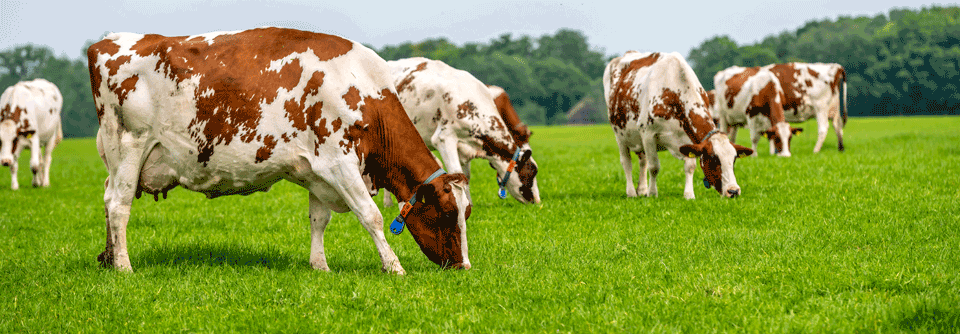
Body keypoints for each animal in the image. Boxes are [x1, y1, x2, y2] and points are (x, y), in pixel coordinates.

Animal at [87, 28, 472, 274]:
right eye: (447, 212)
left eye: (466, 212)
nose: (463, 266)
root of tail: (107, 42)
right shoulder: (340, 162)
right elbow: (371, 216)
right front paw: (393, 266)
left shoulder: (318, 171)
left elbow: (319, 219)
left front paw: (320, 266)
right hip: (131, 146)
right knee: (118, 206)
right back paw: (124, 266)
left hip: (118, 158)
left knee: (107, 199)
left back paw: (108, 258)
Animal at [384, 56, 540, 205]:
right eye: (532, 172)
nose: (536, 201)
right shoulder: (444, 138)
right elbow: (456, 173)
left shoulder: (464, 145)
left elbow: (466, 176)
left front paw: (469, 202)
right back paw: (387, 204)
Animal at [604, 51, 752, 200]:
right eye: (713, 159)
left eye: (734, 160)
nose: (733, 191)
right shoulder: (648, 134)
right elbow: (654, 166)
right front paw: (653, 193)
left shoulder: (688, 137)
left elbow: (690, 166)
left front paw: (689, 194)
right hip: (620, 135)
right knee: (626, 162)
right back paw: (631, 192)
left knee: (642, 160)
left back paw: (641, 189)